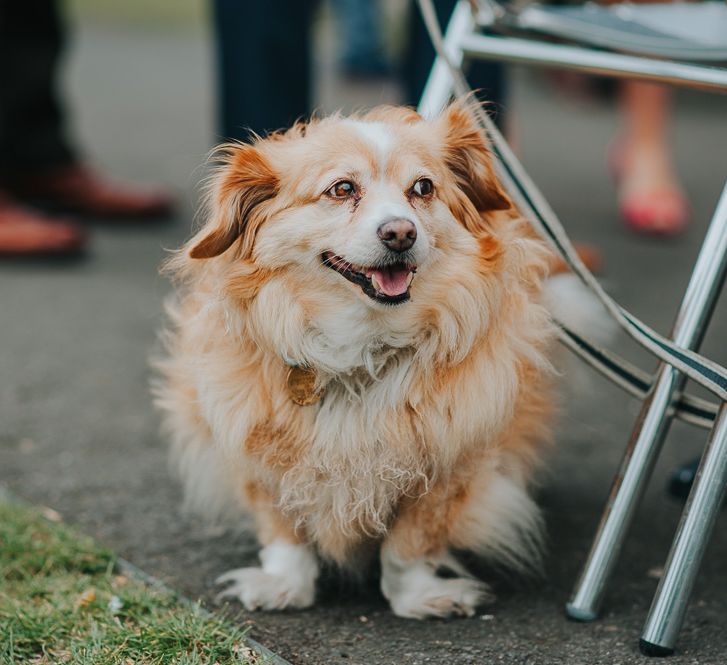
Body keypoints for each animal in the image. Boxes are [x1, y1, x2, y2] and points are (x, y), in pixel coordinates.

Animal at [155, 102, 576, 616]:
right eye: (342, 189)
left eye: (423, 188)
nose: (401, 232)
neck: (361, 349)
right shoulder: (255, 456)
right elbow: (282, 530)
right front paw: (284, 586)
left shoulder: (449, 466)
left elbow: (409, 545)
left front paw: (418, 596)